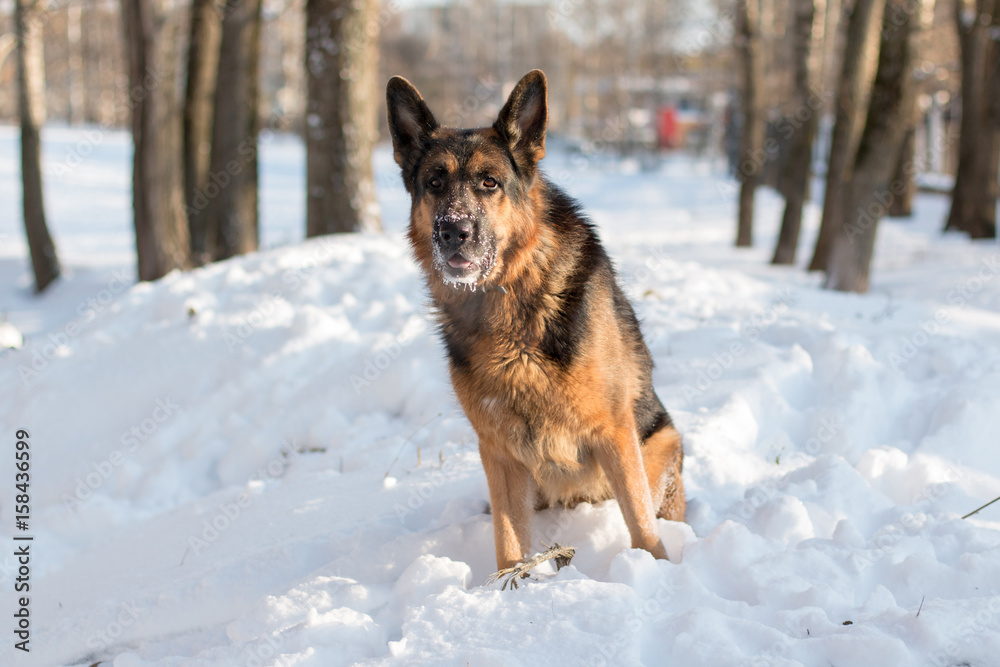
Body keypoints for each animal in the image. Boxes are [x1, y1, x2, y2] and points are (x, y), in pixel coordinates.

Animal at [386, 72, 684, 576]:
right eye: (434, 182)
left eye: (489, 182)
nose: (453, 230)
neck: (509, 303)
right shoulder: (499, 454)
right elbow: (508, 542)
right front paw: (511, 587)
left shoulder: (614, 433)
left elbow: (642, 523)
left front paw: (657, 570)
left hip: (660, 441)